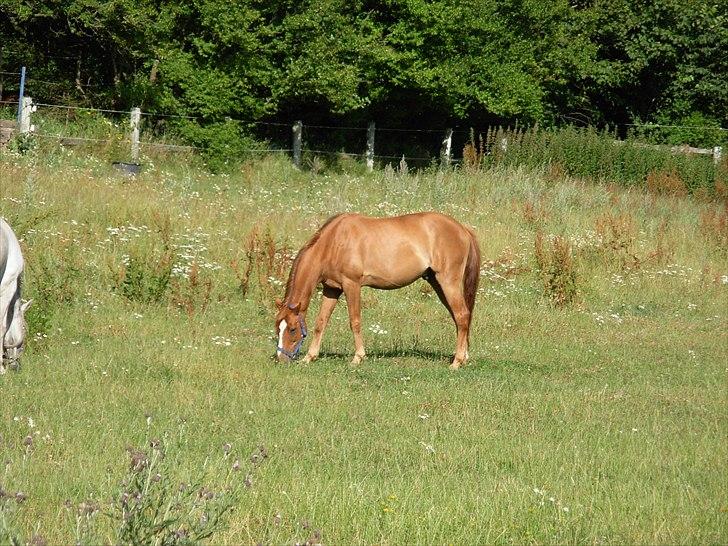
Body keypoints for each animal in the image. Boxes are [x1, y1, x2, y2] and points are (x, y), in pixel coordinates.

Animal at [276, 210, 480, 368]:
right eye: (277, 327)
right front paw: (310, 357)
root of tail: (462, 229)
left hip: (448, 281)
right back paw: (463, 356)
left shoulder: (352, 285)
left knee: (462, 315)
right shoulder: (331, 289)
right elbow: (321, 322)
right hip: (437, 283)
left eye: (292, 329)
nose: (281, 359)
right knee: (460, 317)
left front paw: (358, 358)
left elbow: (355, 321)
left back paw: (457, 362)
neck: (334, 242)